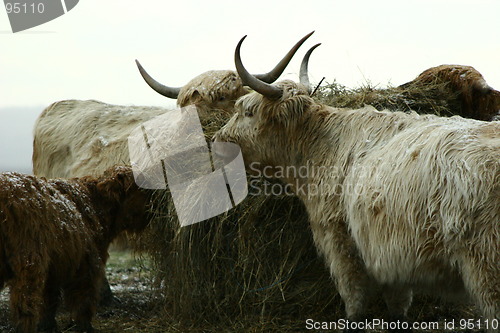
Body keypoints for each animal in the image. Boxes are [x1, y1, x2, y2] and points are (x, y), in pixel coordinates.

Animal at [0, 166, 150, 332]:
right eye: (141, 189)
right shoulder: (87, 263)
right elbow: (83, 299)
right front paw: (85, 327)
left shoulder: (54, 266)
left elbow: (49, 300)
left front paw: (48, 326)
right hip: (29, 261)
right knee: (25, 302)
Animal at [214, 36, 500, 330]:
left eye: (248, 111)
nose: (217, 140)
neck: (321, 145)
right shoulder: (392, 260)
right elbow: (398, 309)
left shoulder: (340, 240)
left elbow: (354, 302)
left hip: (485, 266)